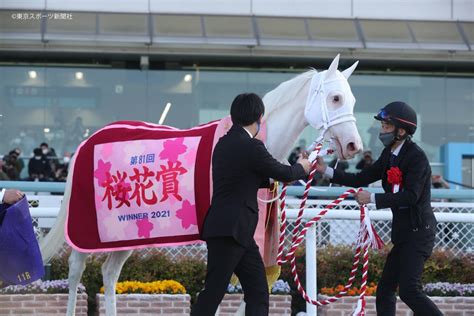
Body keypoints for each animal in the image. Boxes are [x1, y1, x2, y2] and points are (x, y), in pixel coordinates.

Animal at [39, 55, 362, 316]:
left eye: (353, 101)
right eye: (335, 98)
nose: (353, 145)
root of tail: (88, 142)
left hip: (130, 230)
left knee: (109, 272)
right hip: (87, 229)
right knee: (76, 272)